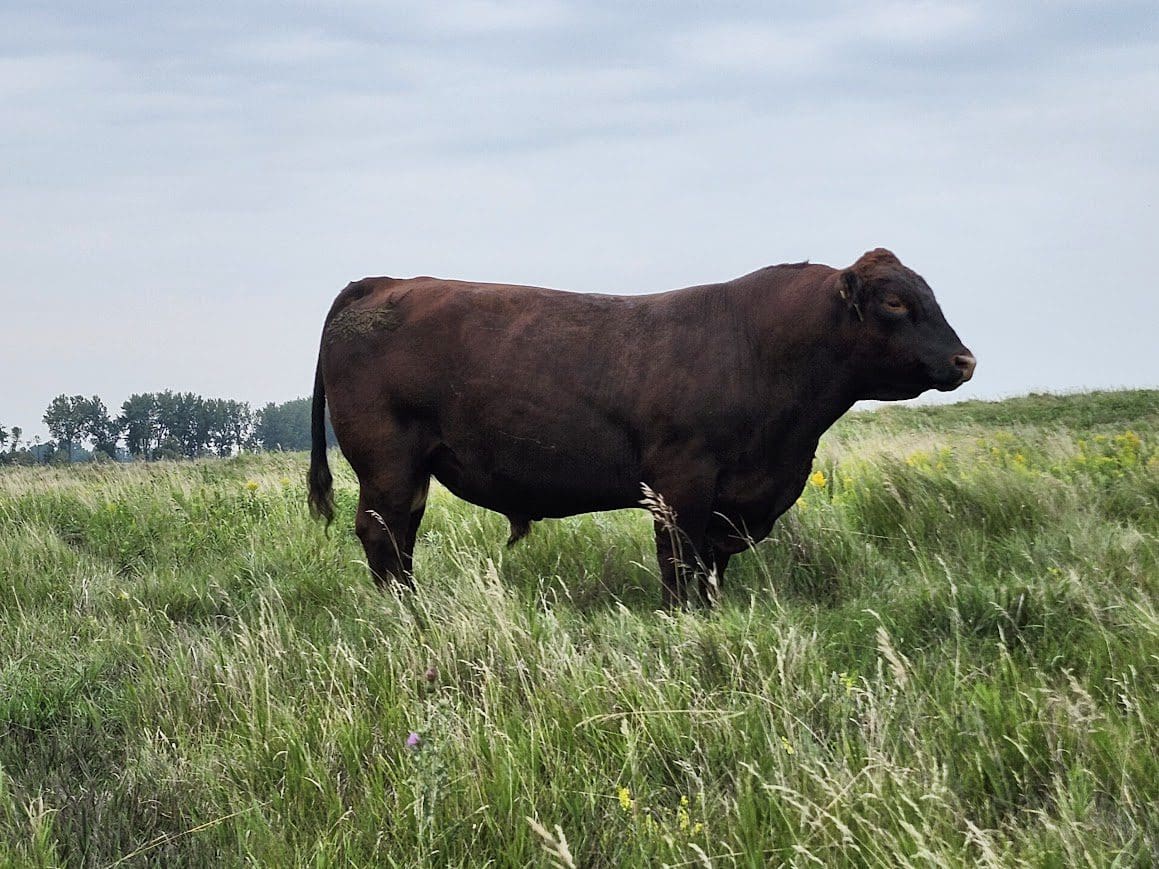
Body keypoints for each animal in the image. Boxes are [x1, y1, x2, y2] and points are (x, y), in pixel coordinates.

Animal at [308, 248, 975, 607]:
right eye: (895, 303)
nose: (965, 360)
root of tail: (381, 283)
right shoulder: (681, 485)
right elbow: (678, 566)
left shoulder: (729, 504)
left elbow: (709, 571)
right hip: (389, 464)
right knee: (382, 536)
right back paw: (404, 613)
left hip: (413, 471)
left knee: (401, 539)